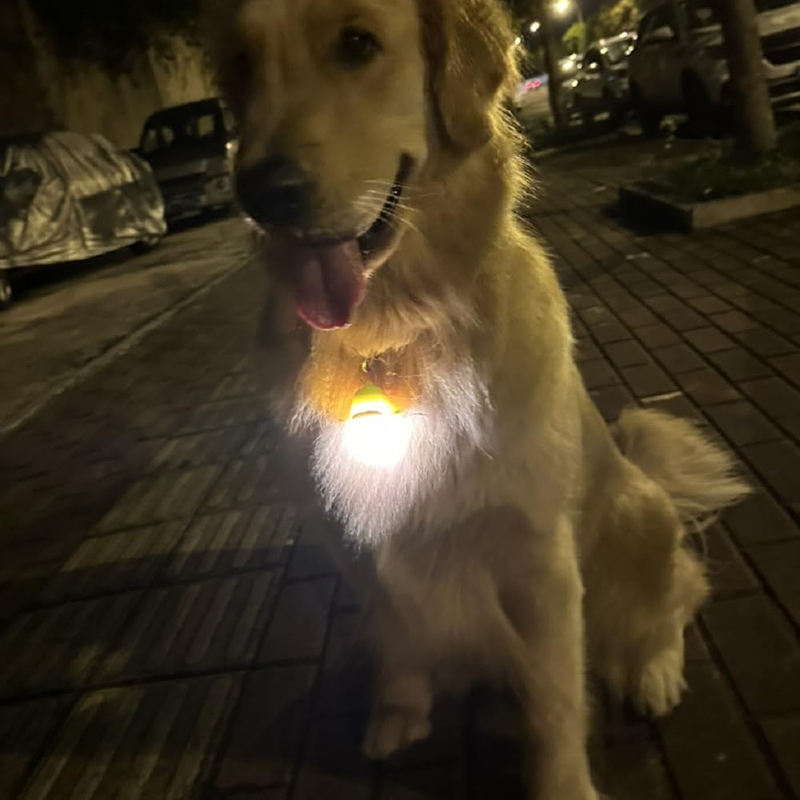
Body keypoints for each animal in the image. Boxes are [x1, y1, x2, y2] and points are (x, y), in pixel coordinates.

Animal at [207, 1, 749, 796]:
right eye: (241, 66)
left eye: (357, 44)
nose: (261, 194)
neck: (389, 334)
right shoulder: (351, 539)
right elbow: (397, 631)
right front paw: (400, 712)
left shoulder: (536, 555)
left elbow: (555, 698)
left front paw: (562, 785)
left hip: (638, 511)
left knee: (677, 594)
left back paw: (653, 672)